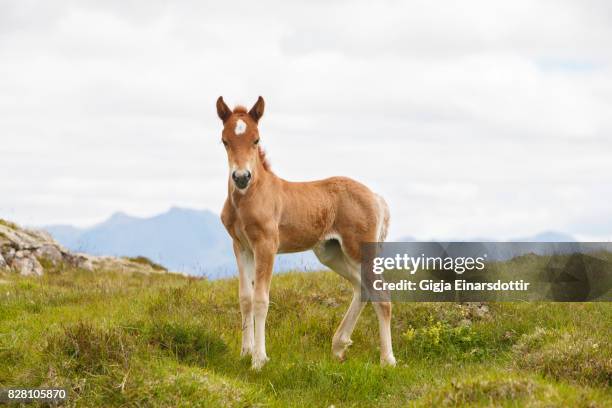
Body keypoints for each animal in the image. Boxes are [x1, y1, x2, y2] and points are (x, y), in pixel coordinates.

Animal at [216, 95, 396, 370]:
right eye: (225, 141)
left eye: (256, 139)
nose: (241, 177)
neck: (251, 196)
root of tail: (376, 197)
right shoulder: (241, 246)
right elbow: (245, 298)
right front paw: (245, 353)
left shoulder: (266, 245)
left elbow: (261, 299)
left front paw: (259, 360)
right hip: (331, 253)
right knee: (363, 288)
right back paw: (339, 345)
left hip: (360, 250)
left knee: (381, 295)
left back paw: (387, 359)